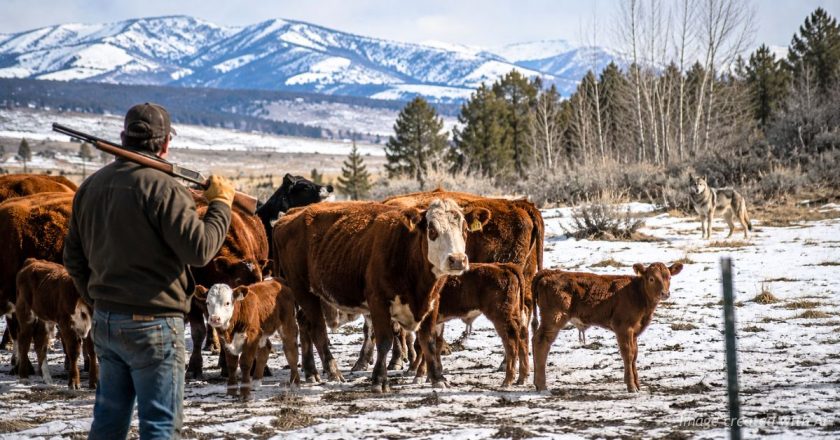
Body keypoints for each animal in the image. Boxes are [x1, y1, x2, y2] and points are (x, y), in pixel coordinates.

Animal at [15, 259, 96, 389]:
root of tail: (32, 261)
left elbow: (92, 351)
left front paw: (94, 382)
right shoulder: (66, 324)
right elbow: (73, 351)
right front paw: (74, 382)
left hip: (44, 318)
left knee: (40, 344)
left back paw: (47, 379)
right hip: (25, 313)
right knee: (24, 341)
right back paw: (23, 377)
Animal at [272, 199, 491, 392]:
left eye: (464, 229)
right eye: (432, 230)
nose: (457, 260)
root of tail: (291, 215)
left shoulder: (433, 301)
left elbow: (428, 340)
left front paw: (438, 378)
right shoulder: (378, 301)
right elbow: (384, 341)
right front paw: (379, 380)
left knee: (304, 324)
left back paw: (311, 371)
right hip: (302, 289)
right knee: (317, 329)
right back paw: (332, 372)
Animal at [531, 262, 683, 392]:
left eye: (669, 277)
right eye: (651, 279)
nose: (665, 293)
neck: (638, 295)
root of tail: (550, 273)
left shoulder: (634, 331)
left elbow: (634, 355)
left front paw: (637, 384)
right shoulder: (623, 327)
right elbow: (628, 355)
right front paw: (631, 386)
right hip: (554, 317)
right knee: (541, 342)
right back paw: (542, 385)